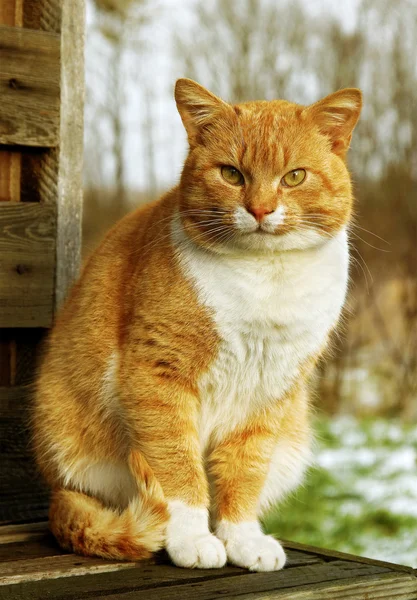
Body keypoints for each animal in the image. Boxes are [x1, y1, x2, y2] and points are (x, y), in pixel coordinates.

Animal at [32, 79, 360, 572]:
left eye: (294, 177)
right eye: (232, 174)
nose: (261, 210)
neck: (266, 277)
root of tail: (57, 491)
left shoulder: (269, 393)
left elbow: (245, 472)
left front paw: (242, 538)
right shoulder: (157, 378)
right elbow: (178, 468)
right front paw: (191, 537)